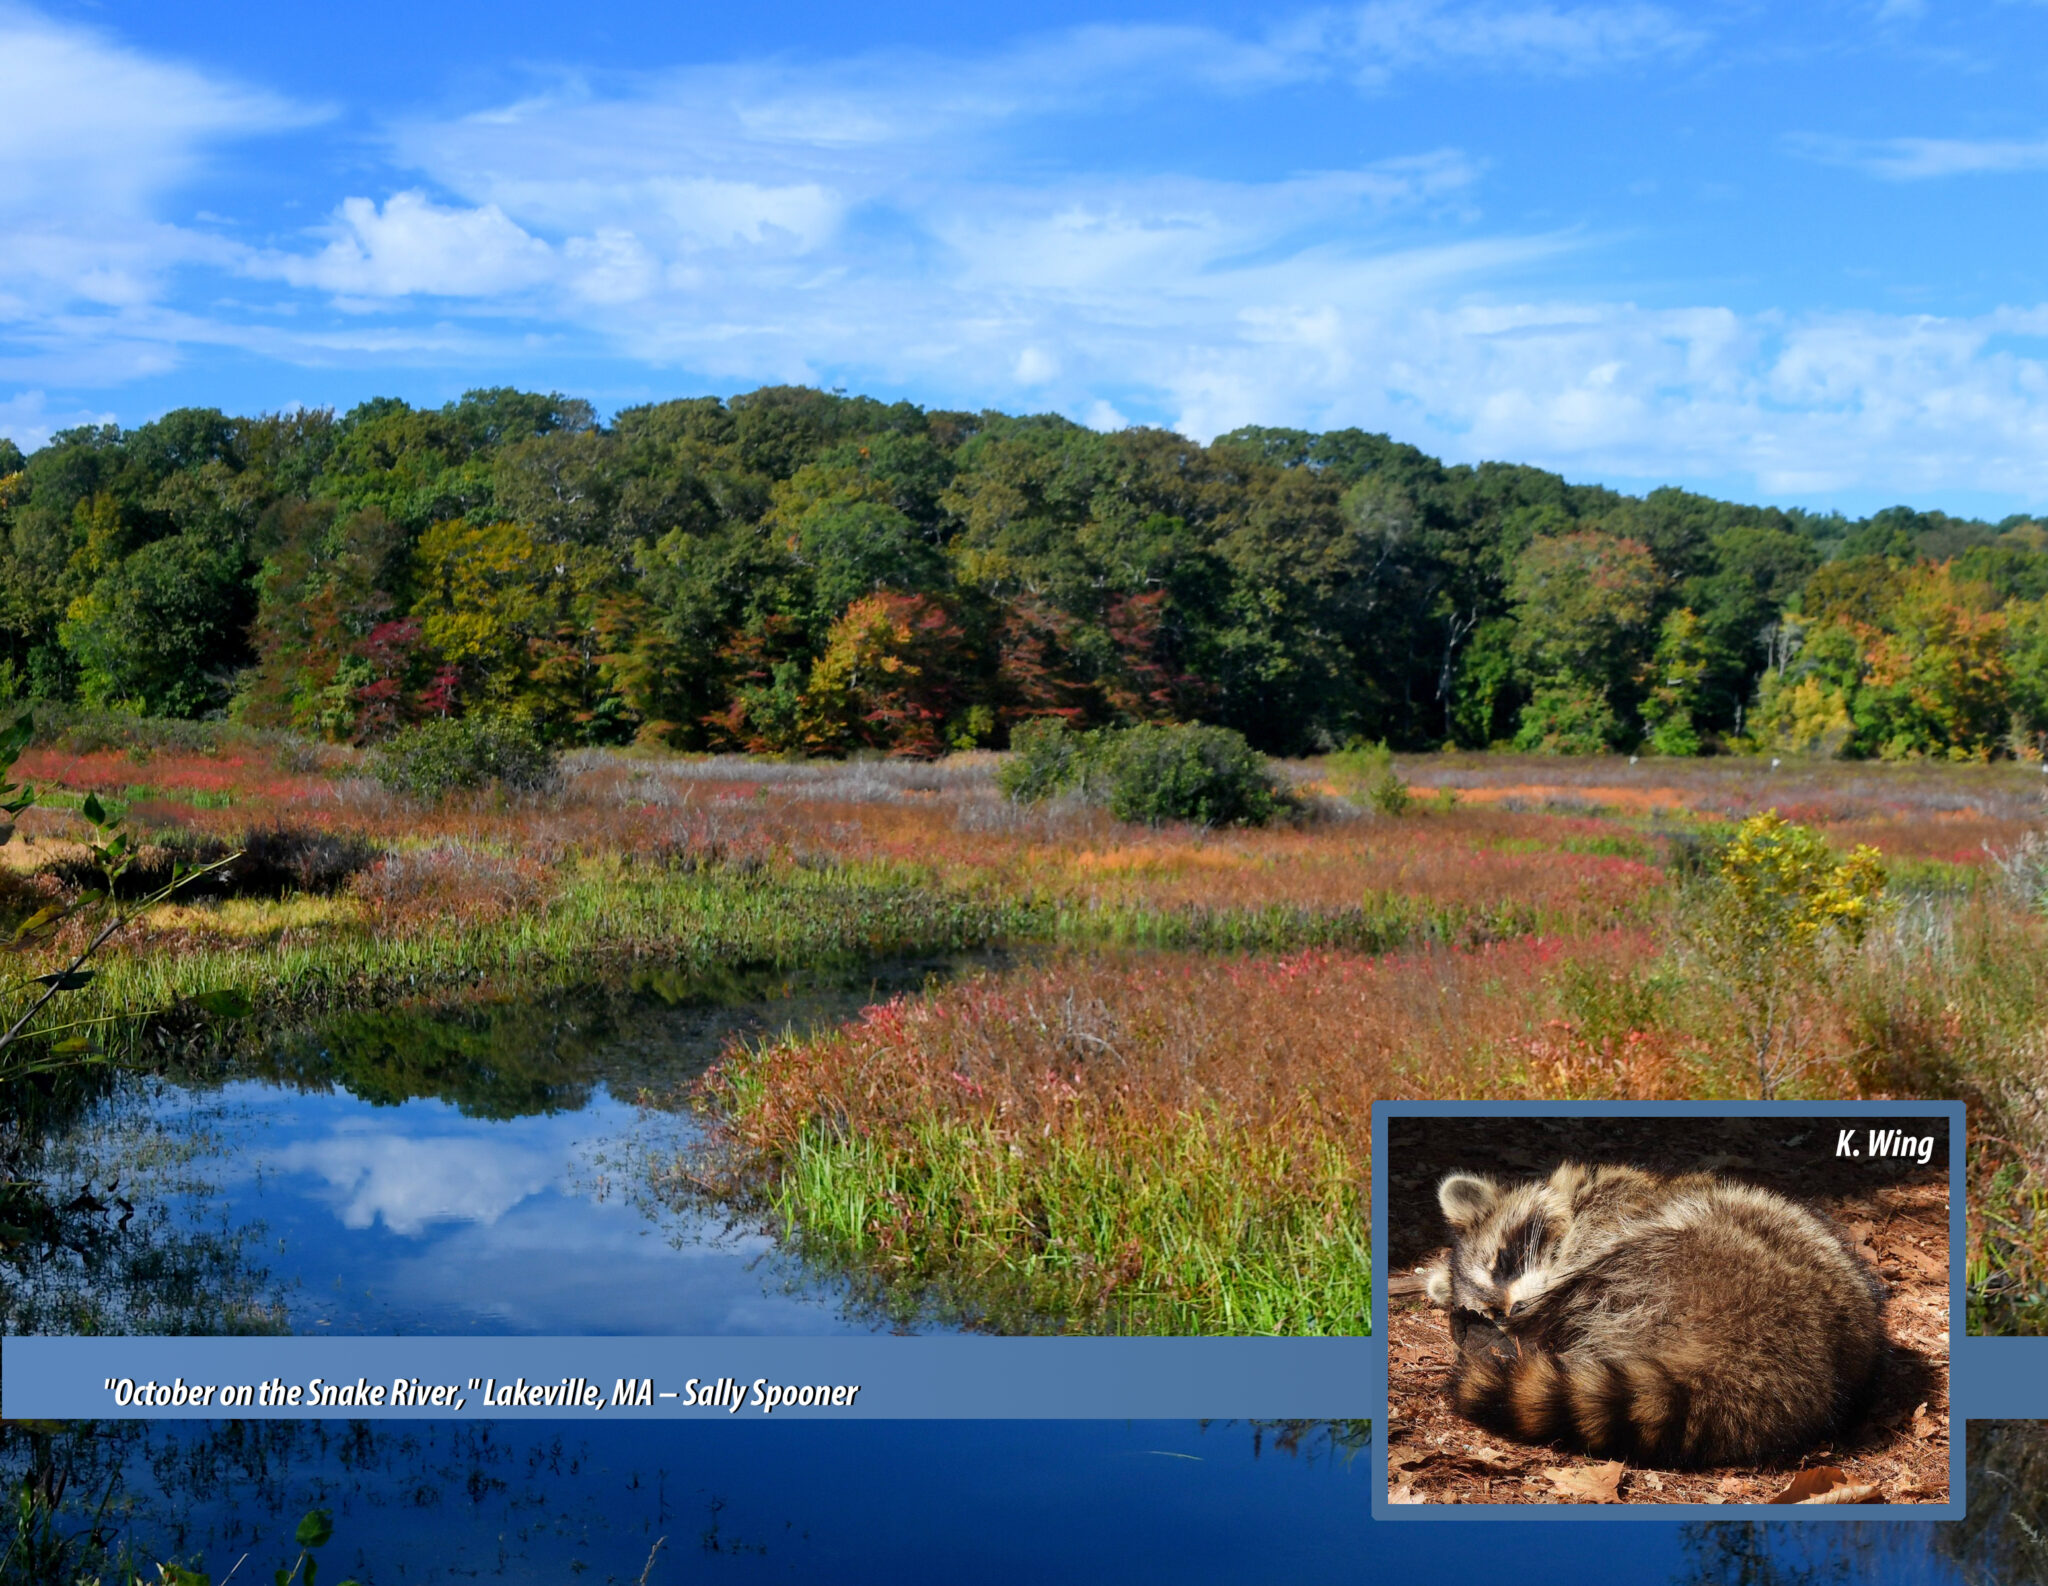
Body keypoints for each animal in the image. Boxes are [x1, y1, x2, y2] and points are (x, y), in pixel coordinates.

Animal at [1425, 1163, 1884, 1475]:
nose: (1515, 1312)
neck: (1574, 1203)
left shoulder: (1612, 1214)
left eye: (1503, 1263)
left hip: (1701, 1255)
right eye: (1494, 1310)